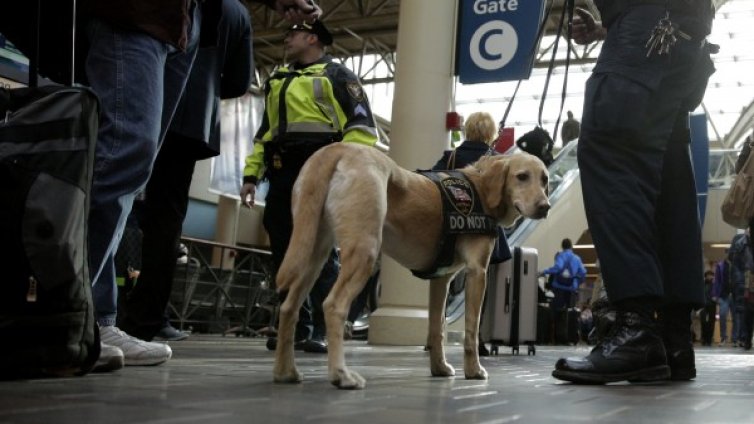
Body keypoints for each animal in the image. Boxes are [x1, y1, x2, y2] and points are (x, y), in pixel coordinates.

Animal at [270, 142, 548, 388]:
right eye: (522, 176)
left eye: (544, 180)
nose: (545, 207)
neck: (481, 187)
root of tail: (338, 148)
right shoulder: (477, 272)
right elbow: (470, 329)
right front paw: (473, 370)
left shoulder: (441, 279)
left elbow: (437, 328)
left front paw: (439, 367)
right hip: (364, 252)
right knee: (333, 305)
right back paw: (341, 375)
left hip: (312, 255)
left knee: (289, 308)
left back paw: (286, 372)